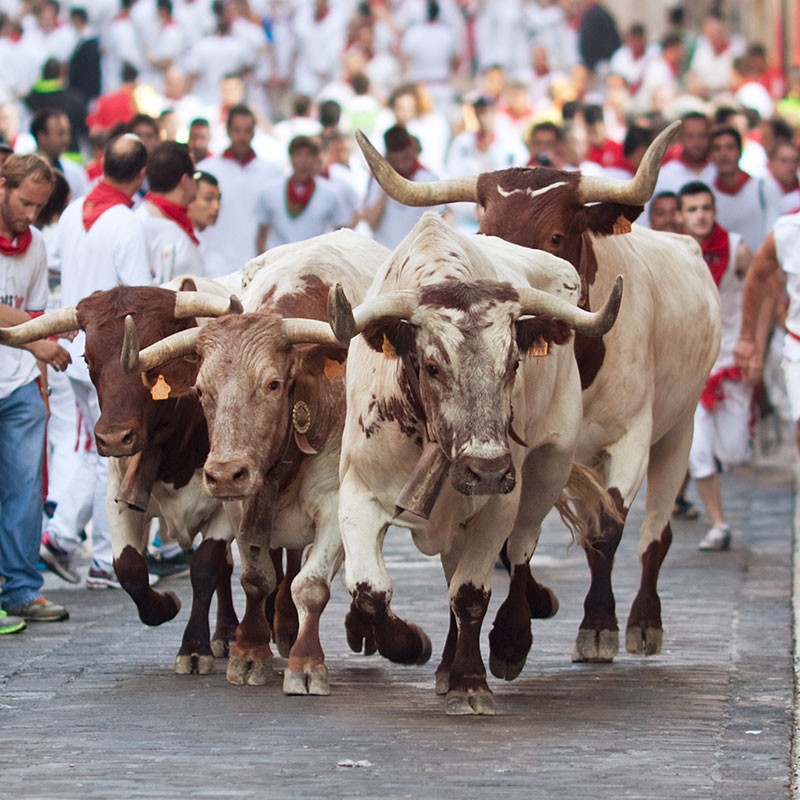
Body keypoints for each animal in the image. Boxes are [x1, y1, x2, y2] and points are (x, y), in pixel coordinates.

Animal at [0, 278, 243, 674]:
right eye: (87, 358)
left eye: (154, 360)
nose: (113, 437)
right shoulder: (118, 492)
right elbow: (129, 568)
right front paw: (165, 604)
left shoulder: (228, 499)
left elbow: (205, 565)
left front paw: (194, 647)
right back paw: (226, 632)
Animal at [121, 230, 391, 695]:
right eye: (200, 389)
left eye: (273, 384)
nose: (224, 474)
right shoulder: (238, 506)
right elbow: (256, 576)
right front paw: (249, 651)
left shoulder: (336, 503)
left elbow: (312, 585)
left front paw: (306, 663)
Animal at [328, 212, 623, 714]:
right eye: (432, 367)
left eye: (513, 364)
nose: (485, 470)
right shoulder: (358, 495)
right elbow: (370, 589)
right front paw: (407, 644)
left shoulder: (497, 505)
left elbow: (470, 595)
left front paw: (470, 681)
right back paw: (444, 664)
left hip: (548, 467)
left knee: (520, 551)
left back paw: (508, 644)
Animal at [353, 122, 722, 664]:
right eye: (484, 234)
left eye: (556, 236)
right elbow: (509, 543)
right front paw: (533, 607)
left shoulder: (631, 437)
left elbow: (605, 529)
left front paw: (596, 626)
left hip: (680, 429)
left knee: (655, 531)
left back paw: (643, 620)